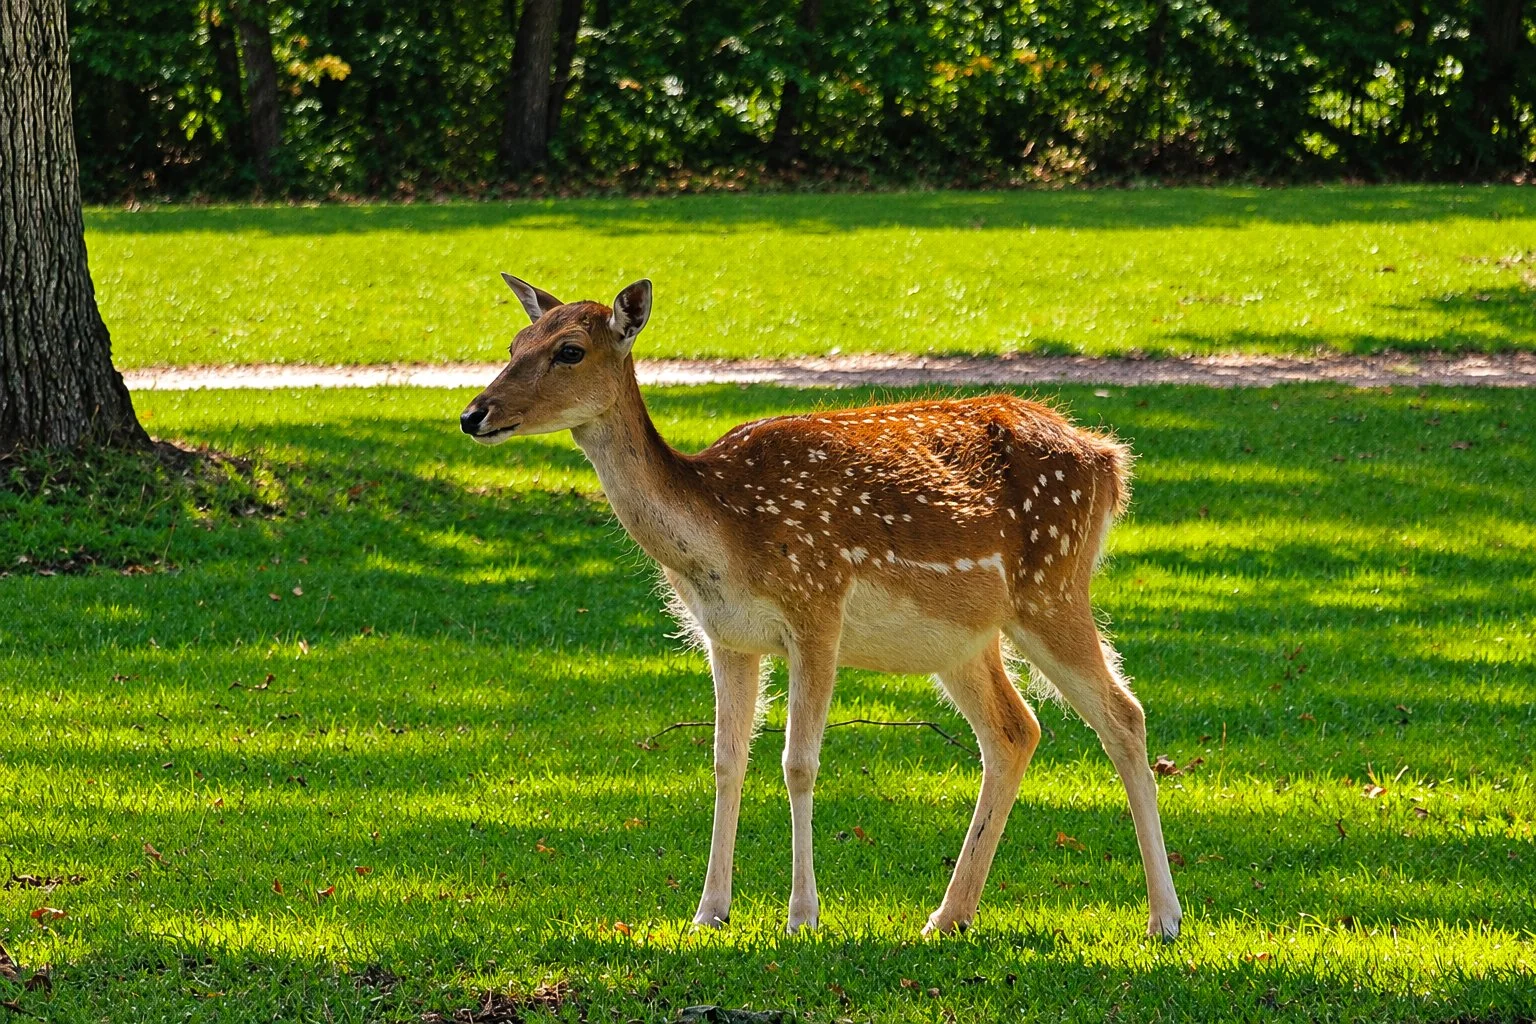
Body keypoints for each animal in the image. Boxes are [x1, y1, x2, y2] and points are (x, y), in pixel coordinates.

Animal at [459, 275, 1183, 941]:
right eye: (516, 342)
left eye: (570, 350)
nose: (474, 414)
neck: (724, 532)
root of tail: (1111, 460)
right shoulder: (727, 636)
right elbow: (725, 762)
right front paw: (708, 913)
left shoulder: (817, 608)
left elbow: (798, 763)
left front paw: (802, 916)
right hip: (964, 638)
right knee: (1015, 731)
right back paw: (947, 916)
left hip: (1052, 587)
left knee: (1124, 715)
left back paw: (1164, 919)